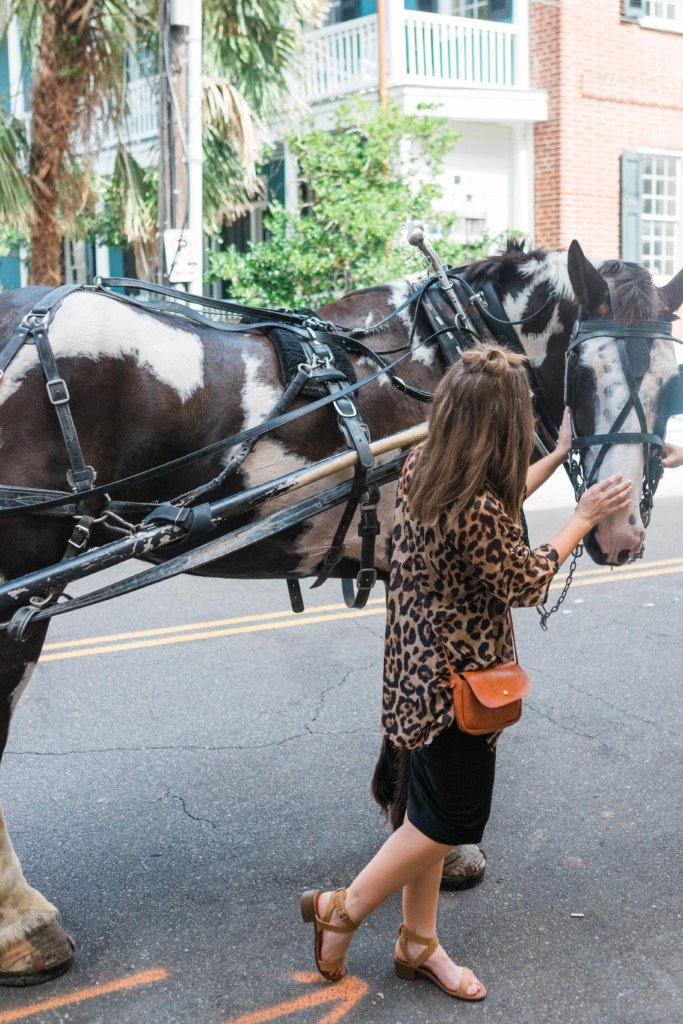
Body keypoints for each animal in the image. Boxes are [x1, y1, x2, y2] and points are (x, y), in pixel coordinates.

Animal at [0, 239, 679, 983]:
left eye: (671, 383)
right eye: (584, 372)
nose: (619, 529)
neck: (447, 351)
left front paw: (411, 824)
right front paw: (438, 845)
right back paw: (24, 925)